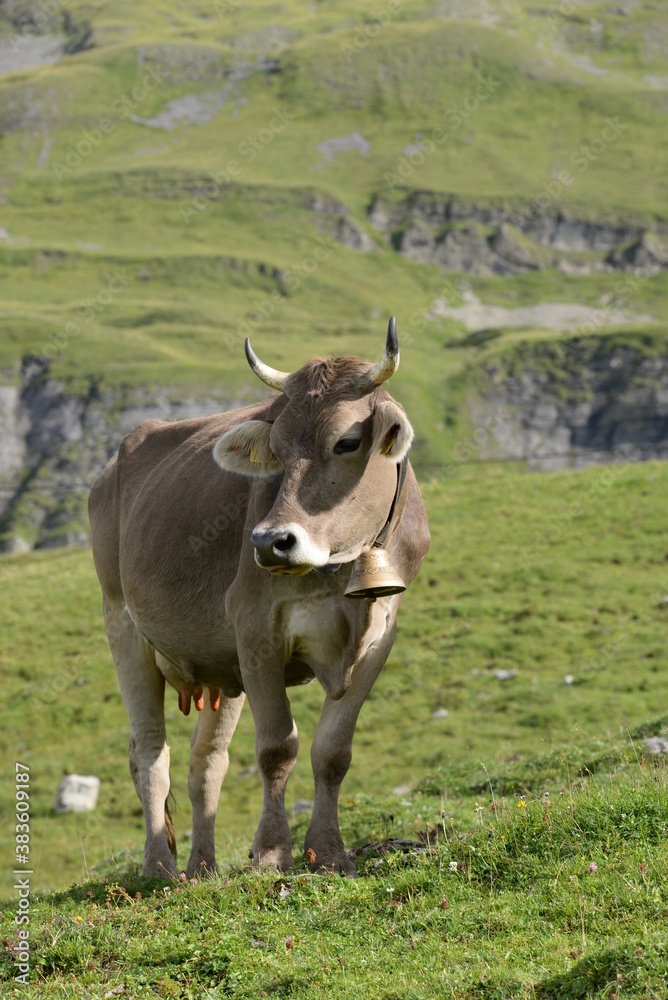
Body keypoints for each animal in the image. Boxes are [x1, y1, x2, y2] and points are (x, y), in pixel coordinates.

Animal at [88, 320, 430, 876]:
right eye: (278, 447)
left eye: (347, 441)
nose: (271, 542)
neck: (336, 571)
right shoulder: (256, 628)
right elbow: (277, 748)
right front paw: (271, 854)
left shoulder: (381, 634)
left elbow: (333, 751)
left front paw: (328, 852)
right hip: (123, 626)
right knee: (150, 753)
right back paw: (159, 868)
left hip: (220, 671)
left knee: (206, 762)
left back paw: (202, 868)